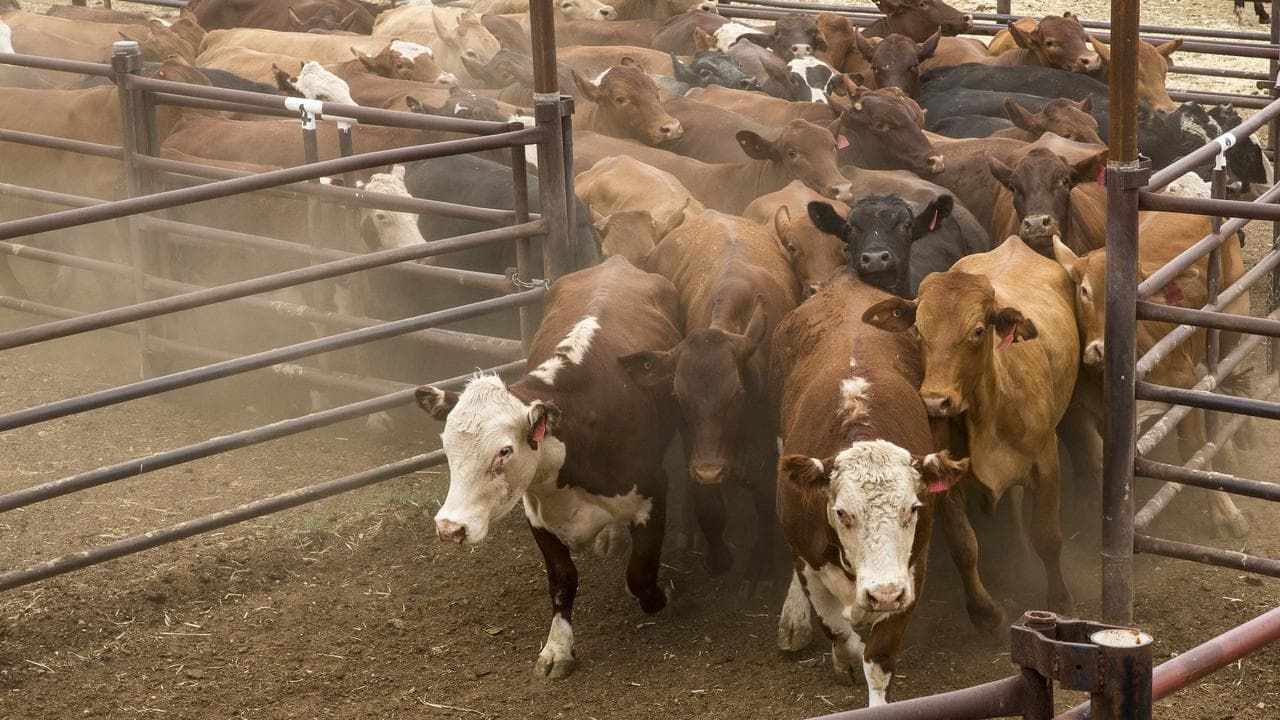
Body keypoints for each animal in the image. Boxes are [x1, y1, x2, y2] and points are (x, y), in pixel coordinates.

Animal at [416, 255, 683, 680]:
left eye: (504, 451)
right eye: (446, 446)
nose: (450, 528)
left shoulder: (654, 489)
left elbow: (640, 574)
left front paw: (664, 595)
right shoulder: (536, 511)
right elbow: (562, 579)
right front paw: (558, 648)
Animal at [623, 209, 798, 578]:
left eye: (736, 395)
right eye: (679, 398)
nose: (709, 471)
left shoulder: (766, 434)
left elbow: (763, 492)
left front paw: (762, 560)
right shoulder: (693, 437)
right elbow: (708, 503)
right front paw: (718, 556)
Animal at [769, 267, 969, 705]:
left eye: (913, 508)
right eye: (842, 512)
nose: (883, 594)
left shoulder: (912, 568)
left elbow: (879, 657)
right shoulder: (804, 555)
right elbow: (836, 628)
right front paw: (845, 656)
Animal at [862, 236, 1079, 614]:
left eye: (977, 330)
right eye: (919, 330)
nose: (935, 401)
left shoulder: (1047, 462)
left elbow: (1047, 537)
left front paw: (1059, 599)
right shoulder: (943, 480)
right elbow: (964, 548)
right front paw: (984, 613)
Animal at [1051, 218, 1251, 538]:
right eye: (1084, 291)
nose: (1101, 350)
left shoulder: (1183, 386)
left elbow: (1193, 449)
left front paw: (1226, 513)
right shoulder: (1075, 411)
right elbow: (1095, 458)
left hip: (1232, 323)